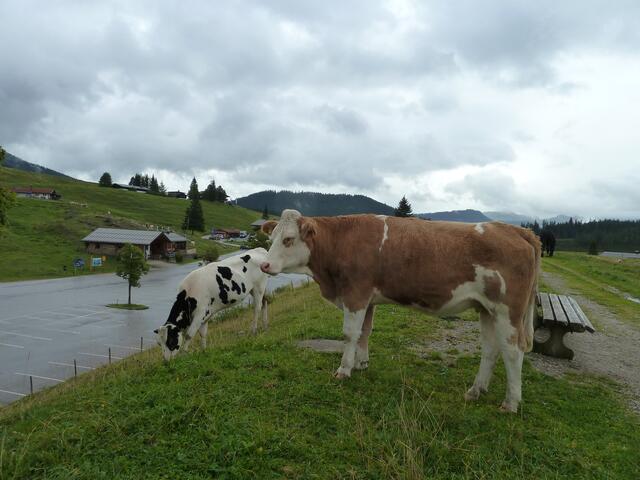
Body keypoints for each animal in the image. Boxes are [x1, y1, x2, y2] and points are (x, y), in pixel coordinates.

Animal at [259, 210, 540, 413]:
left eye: (288, 240)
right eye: (270, 239)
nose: (264, 265)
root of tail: (515, 229)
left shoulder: (355, 294)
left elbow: (350, 334)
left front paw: (344, 370)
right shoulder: (368, 299)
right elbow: (365, 332)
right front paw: (361, 363)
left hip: (507, 310)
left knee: (513, 351)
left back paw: (510, 403)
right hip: (487, 309)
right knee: (491, 349)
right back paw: (475, 391)